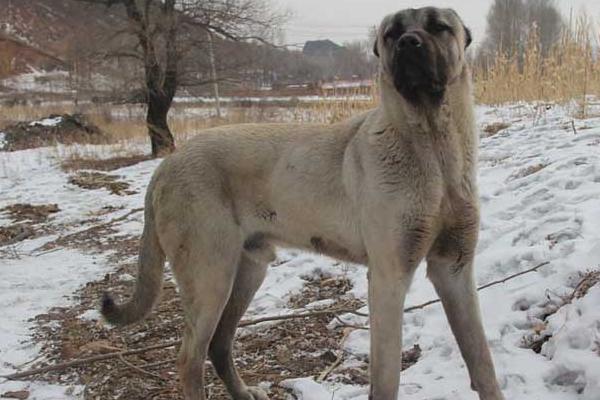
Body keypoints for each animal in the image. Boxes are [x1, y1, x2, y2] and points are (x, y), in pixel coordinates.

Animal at [101, 6, 504, 400]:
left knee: (219, 344)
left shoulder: (453, 270)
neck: (433, 146)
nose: (408, 43)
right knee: (189, 359)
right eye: (392, 33)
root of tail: (166, 165)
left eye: (438, 27)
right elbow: (387, 379)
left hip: (247, 270)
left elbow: (482, 363)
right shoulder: (389, 277)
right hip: (210, 278)